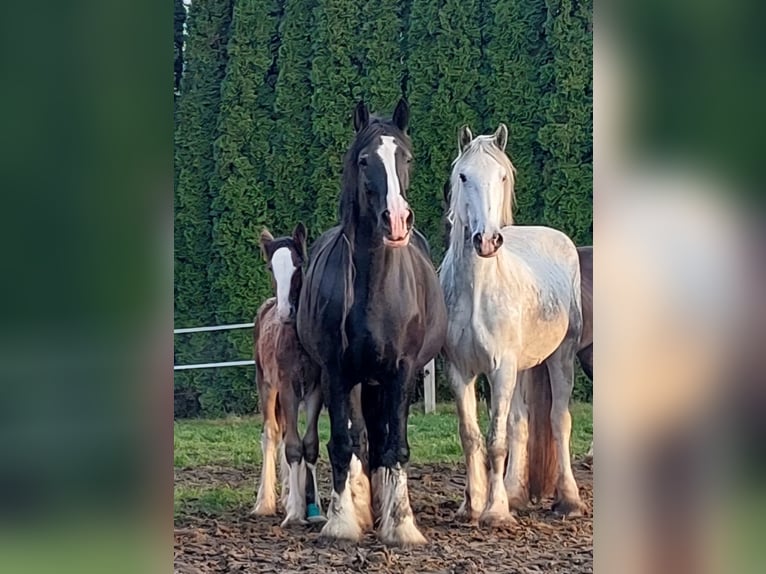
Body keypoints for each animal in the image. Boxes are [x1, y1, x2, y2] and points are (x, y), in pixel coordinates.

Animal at [296, 100, 448, 548]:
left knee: (380, 439)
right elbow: (343, 443)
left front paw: (401, 525)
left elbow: (395, 445)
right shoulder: (336, 372)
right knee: (361, 439)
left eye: (407, 158)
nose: (396, 220)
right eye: (365, 160)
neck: (374, 288)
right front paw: (342, 521)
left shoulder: (402, 372)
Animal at [440, 126, 584, 528]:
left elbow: (496, 440)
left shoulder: (500, 370)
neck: (477, 291)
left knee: (558, 420)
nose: (487, 240)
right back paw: (516, 493)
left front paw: (495, 512)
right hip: (521, 368)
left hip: (560, 357)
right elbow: (471, 436)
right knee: (520, 423)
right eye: (463, 176)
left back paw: (569, 501)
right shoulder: (460, 370)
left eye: (502, 177)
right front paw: (472, 506)